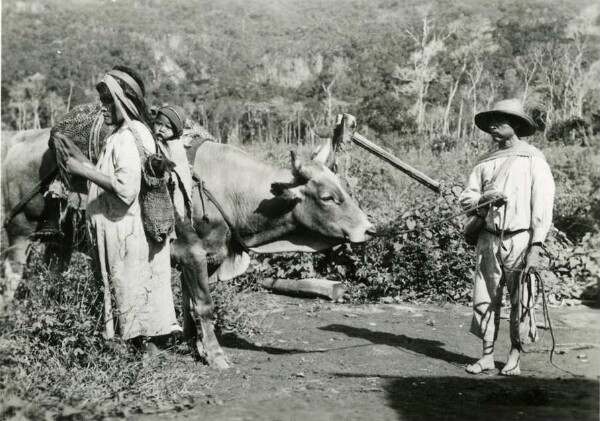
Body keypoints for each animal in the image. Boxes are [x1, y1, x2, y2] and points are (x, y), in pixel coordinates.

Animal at [2, 125, 372, 368]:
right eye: (328, 197)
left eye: (345, 188)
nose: (370, 229)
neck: (225, 189)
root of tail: (19, 138)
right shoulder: (192, 253)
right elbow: (205, 306)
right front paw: (217, 356)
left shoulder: (201, 257)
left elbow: (192, 308)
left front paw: (195, 347)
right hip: (19, 233)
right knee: (12, 280)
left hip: (58, 241)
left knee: (53, 280)